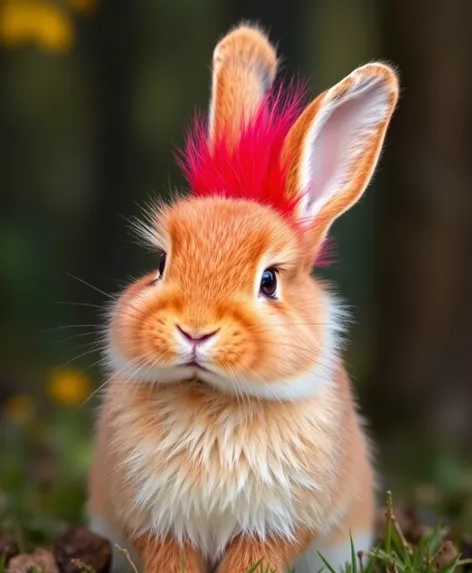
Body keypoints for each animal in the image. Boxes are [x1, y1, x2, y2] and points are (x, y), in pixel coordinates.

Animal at [87, 21, 398, 572]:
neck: (213, 397)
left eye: (269, 281)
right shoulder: (163, 528)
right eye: (160, 264)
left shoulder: (270, 530)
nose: (194, 330)